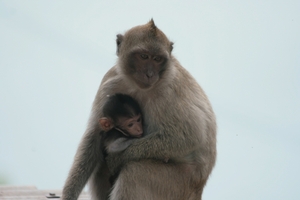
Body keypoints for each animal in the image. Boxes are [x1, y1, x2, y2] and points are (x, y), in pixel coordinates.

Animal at [62, 19, 216, 200]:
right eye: (143, 56)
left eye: (157, 59)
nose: (150, 74)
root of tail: (199, 188)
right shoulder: (110, 81)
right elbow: (94, 135)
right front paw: (69, 194)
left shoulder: (169, 92)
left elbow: (190, 136)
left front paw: (119, 158)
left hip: (177, 184)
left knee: (134, 171)